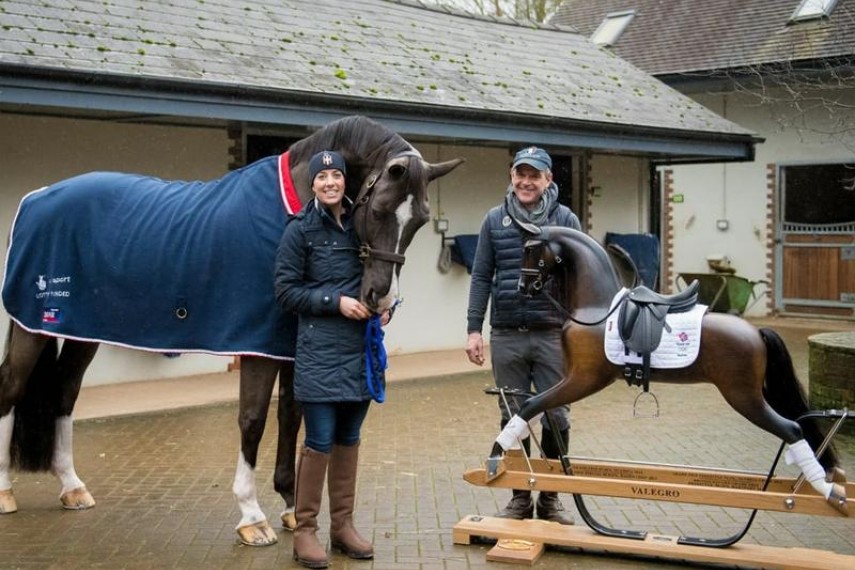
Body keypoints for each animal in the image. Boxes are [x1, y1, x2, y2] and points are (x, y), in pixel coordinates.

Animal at [0, 115, 464, 545]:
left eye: (420, 221)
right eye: (379, 209)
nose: (380, 300)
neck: (293, 208)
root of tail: (36, 197)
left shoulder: (287, 344)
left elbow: (290, 415)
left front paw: (291, 507)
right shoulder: (256, 346)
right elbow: (253, 420)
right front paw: (252, 517)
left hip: (86, 331)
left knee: (65, 393)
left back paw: (72, 487)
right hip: (34, 327)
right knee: (12, 388)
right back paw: (6, 492)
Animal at [493, 225, 848, 515]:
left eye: (530, 249)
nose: (522, 287)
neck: (598, 308)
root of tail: (756, 332)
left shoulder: (584, 378)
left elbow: (529, 405)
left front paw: (496, 455)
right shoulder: (576, 380)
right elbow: (535, 407)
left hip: (745, 397)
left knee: (793, 429)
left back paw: (827, 490)